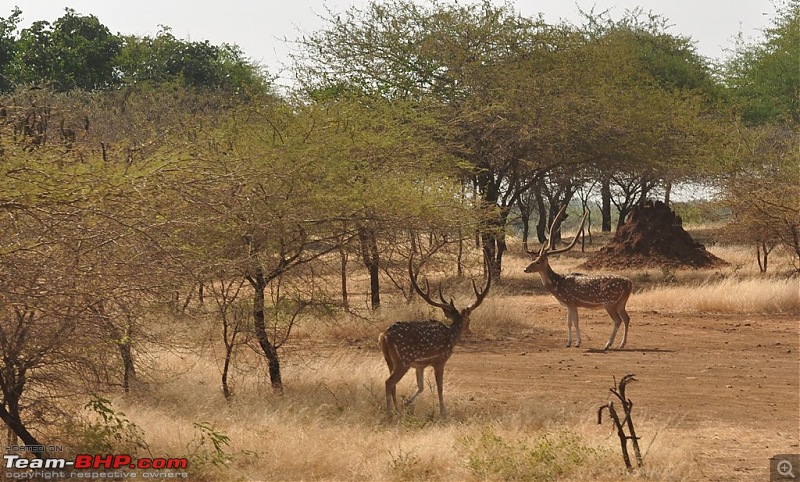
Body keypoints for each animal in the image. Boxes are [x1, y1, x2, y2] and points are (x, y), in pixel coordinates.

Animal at [378, 254, 490, 416]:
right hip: (403, 360)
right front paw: (443, 412)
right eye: (469, 320)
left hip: (389, 360)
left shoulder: (420, 365)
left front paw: (407, 403)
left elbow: (421, 386)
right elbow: (439, 387)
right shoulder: (439, 360)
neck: (451, 337)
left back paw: (398, 409)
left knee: (392, 384)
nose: (471, 331)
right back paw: (390, 413)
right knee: (389, 382)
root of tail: (383, 336)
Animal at [520, 204, 636, 350]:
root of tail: (630, 283)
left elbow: (575, 322)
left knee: (618, 320)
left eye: (538, 262)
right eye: (533, 259)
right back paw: (621, 344)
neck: (557, 286)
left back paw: (607, 344)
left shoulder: (571, 301)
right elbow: (569, 322)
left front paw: (577, 342)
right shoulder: (569, 305)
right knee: (627, 318)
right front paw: (569, 342)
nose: (526, 269)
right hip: (621, 302)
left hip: (610, 302)